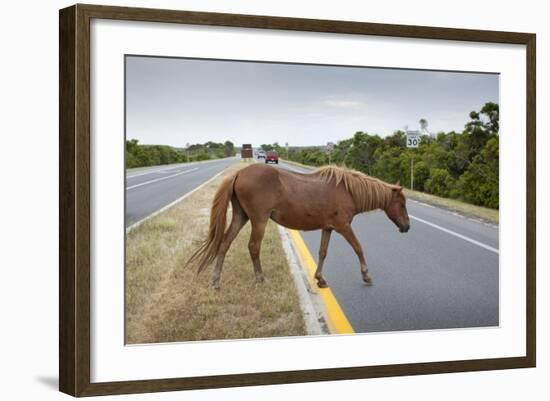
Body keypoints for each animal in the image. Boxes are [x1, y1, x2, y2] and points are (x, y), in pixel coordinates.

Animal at [189, 162, 410, 288]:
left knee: (224, 244)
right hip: (259, 220)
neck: (348, 191)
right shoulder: (343, 227)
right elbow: (358, 247)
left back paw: (216, 281)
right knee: (253, 247)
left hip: (240, 217)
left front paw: (320, 279)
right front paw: (366, 275)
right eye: (402, 203)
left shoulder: (328, 228)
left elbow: (323, 252)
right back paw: (260, 278)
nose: (406, 227)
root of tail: (239, 173)